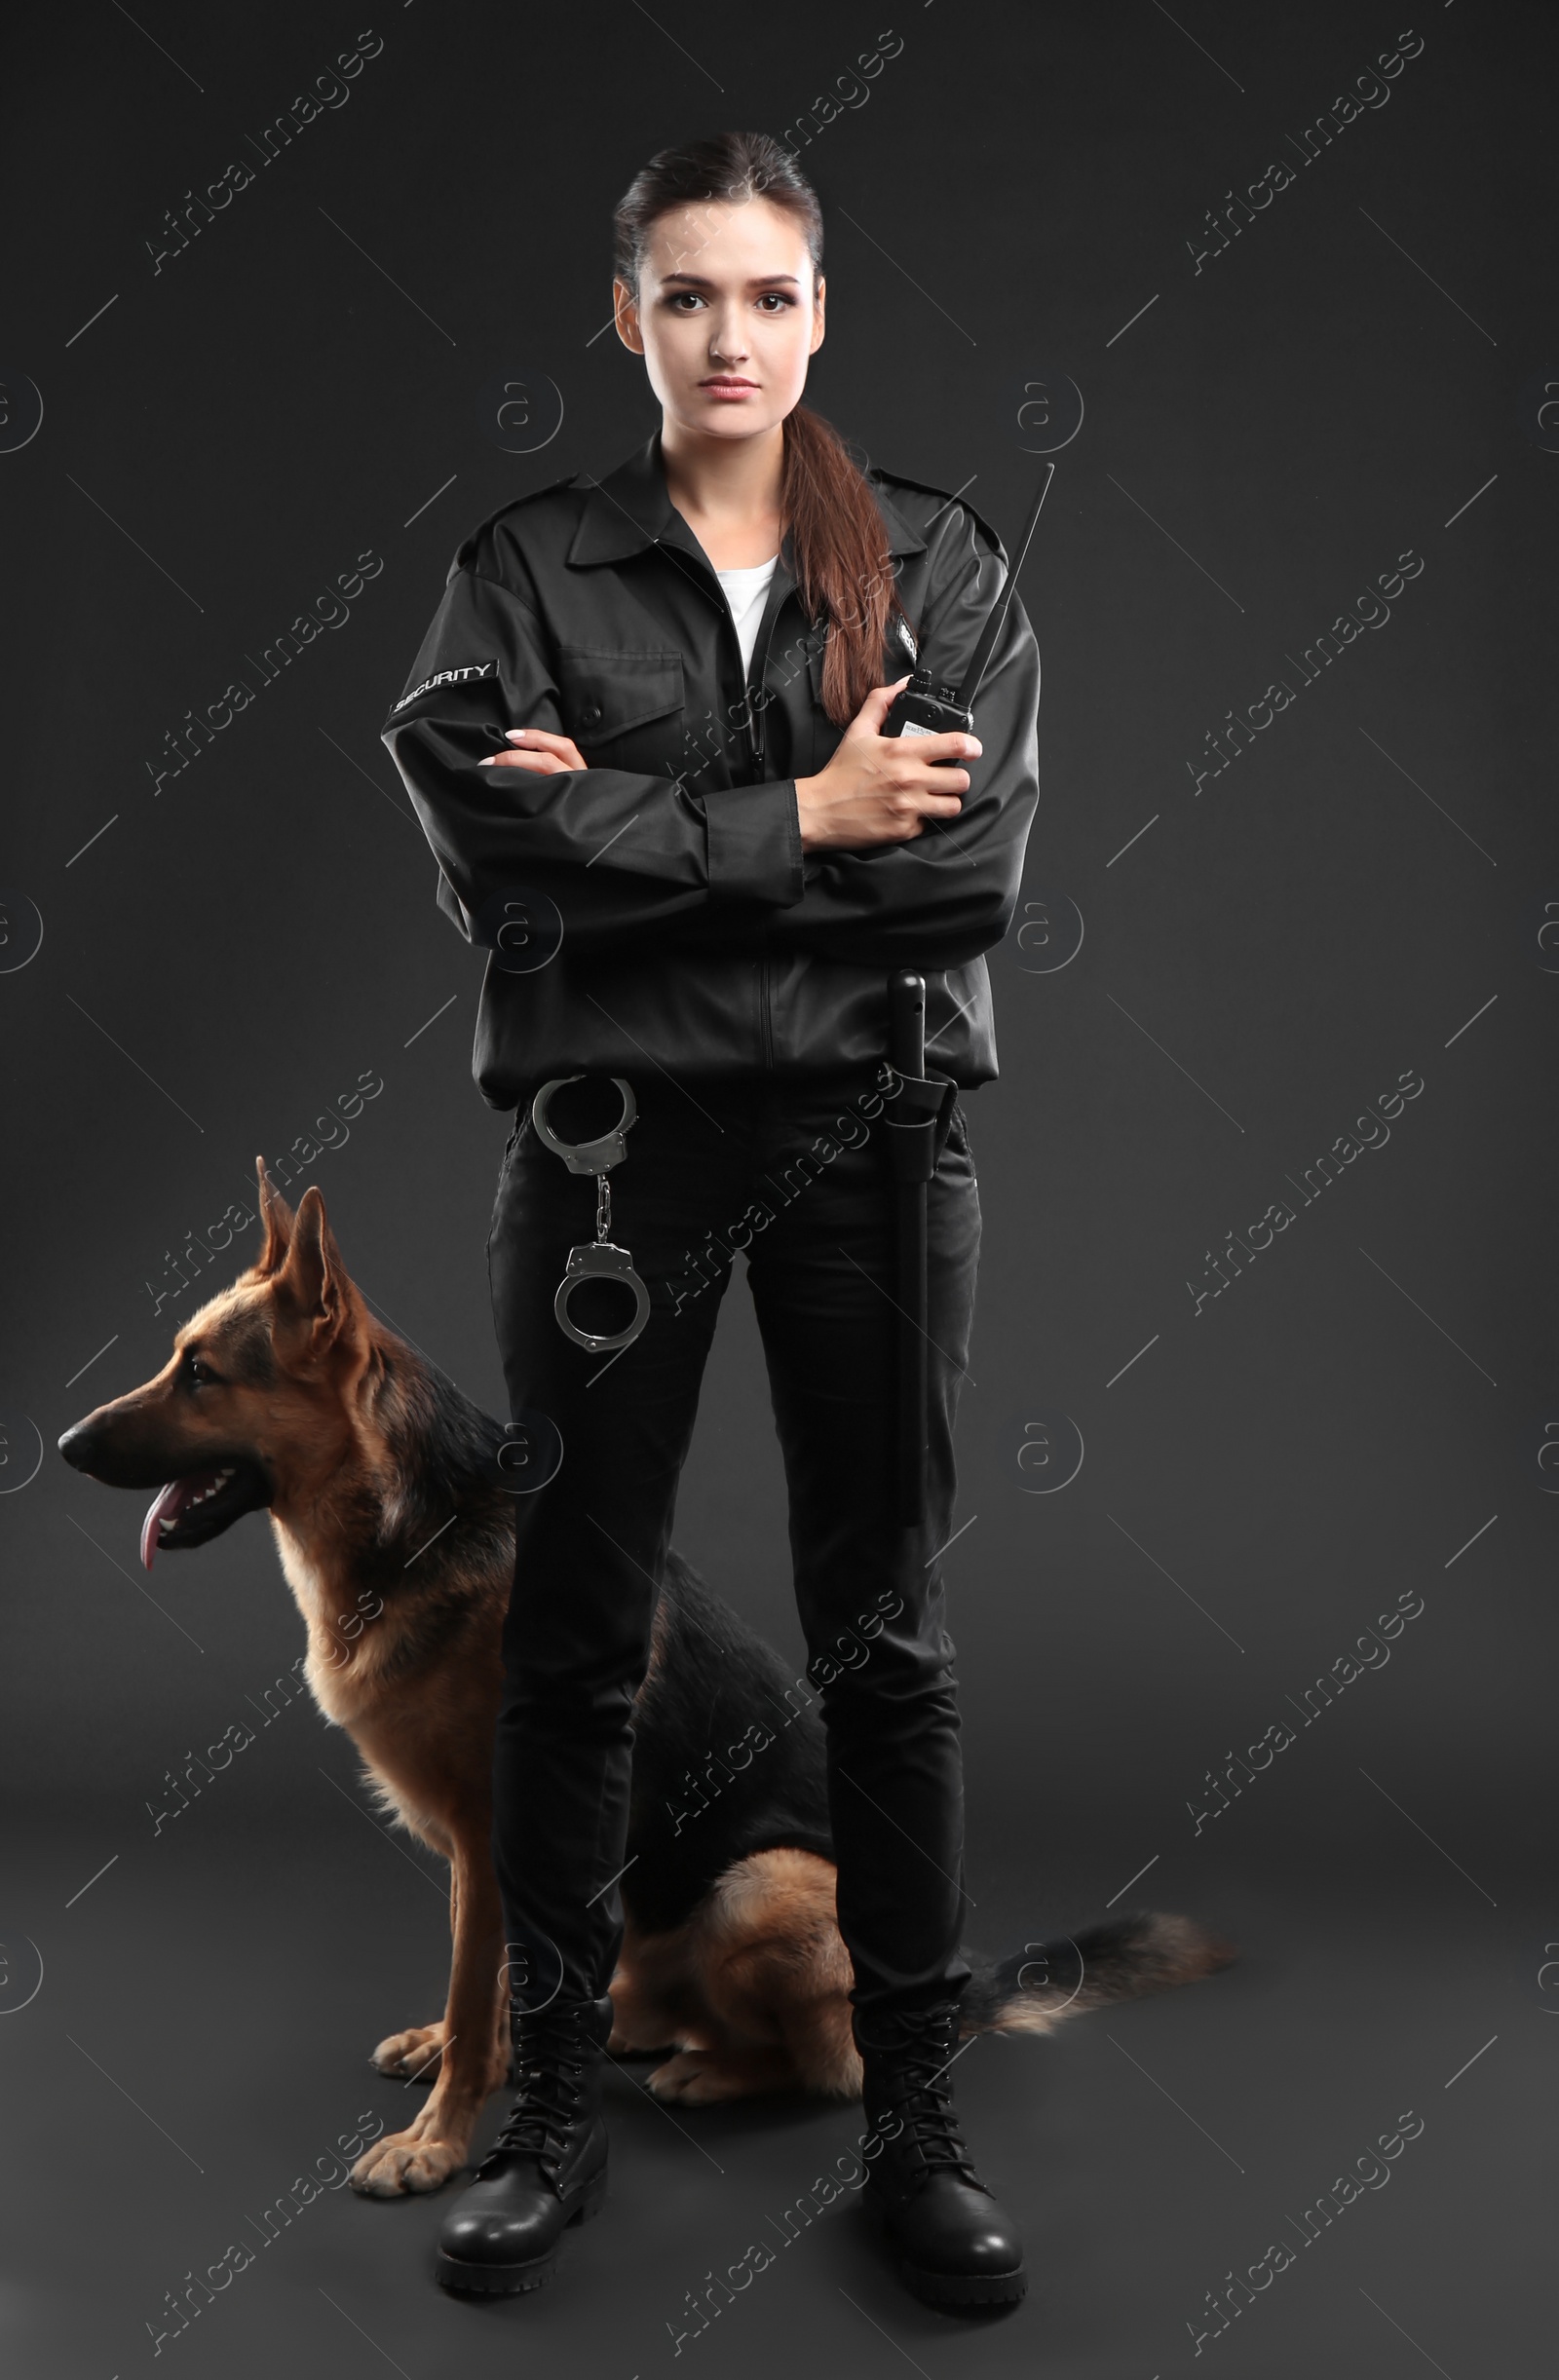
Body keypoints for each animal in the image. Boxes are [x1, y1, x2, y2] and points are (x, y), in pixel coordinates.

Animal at [57, 1166, 1228, 2189]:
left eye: (200, 1373)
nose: (63, 1444)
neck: (411, 1511)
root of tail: (954, 1995)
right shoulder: (479, 1857)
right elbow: (483, 1986)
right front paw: (460, 2057)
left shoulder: (494, 1836)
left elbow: (486, 1997)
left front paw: (436, 2142)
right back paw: (633, 2030)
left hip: (756, 1890)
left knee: (834, 2070)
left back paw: (712, 2069)